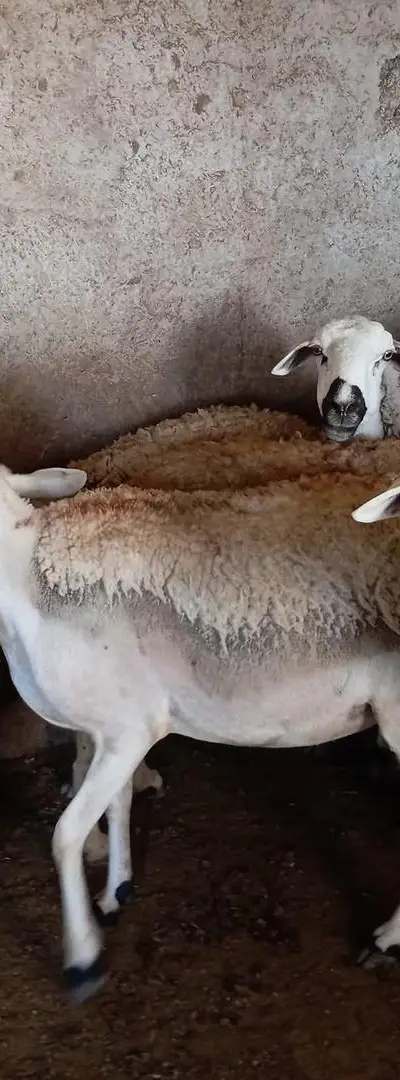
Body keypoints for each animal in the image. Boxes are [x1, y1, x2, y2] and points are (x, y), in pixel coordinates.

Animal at [4, 462, 400, 999]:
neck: (29, 574)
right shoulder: (112, 727)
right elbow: (118, 803)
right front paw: (116, 891)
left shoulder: (130, 728)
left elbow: (66, 835)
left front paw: (83, 960)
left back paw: (386, 939)